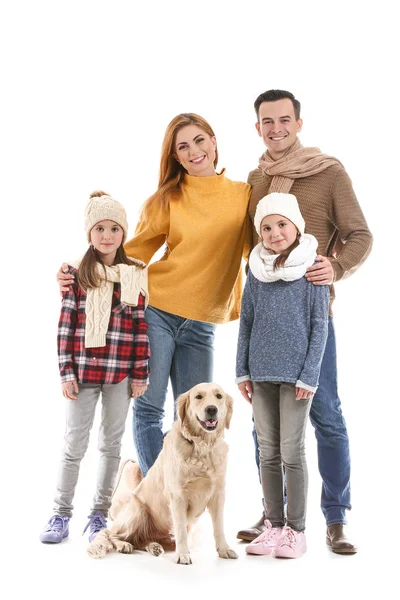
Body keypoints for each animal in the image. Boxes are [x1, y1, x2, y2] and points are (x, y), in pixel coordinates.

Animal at [87, 382, 238, 564]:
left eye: (218, 396)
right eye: (198, 397)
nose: (211, 409)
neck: (202, 448)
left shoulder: (218, 494)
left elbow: (219, 527)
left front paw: (224, 549)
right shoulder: (178, 496)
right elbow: (181, 530)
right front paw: (183, 555)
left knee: (140, 540)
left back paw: (154, 547)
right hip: (139, 511)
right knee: (112, 534)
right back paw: (124, 545)